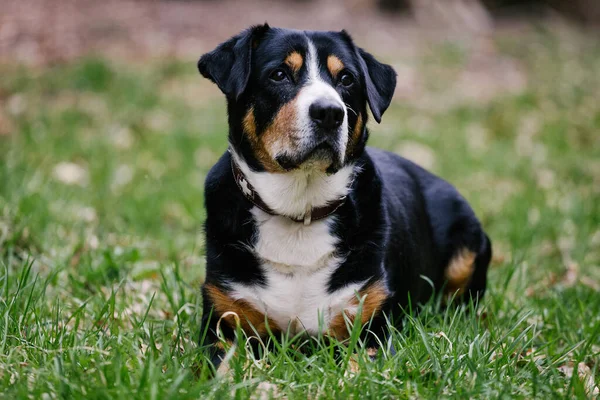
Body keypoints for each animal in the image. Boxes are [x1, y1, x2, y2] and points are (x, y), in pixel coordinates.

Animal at [198, 23, 492, 370]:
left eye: (346, 79)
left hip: (468, 248)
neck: (299, 210)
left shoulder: (370, 328)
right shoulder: (223, 321)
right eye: (279, 74)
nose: (329, 112)